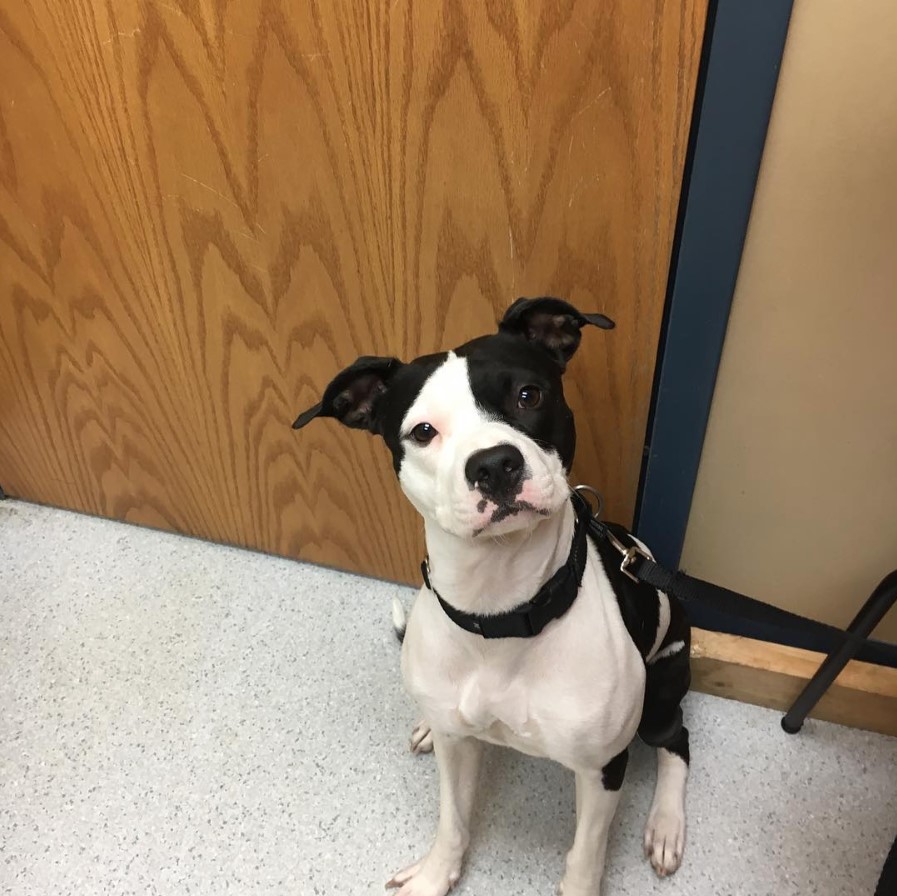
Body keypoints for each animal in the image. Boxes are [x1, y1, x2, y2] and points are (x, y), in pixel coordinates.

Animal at [294, 298, 692, 892]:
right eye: (423, 431)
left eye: (528, 395)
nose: (494, 465)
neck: (500, 611)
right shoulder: (458, 750)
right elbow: (452, 821)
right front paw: (436, 876)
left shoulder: (600, 768)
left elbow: (584, 857)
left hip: (662, 690)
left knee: (676, 742)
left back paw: (666, 826)